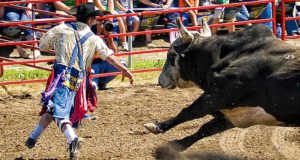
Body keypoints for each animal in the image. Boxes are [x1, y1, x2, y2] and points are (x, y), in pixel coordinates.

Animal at [143, 20, 300, 151]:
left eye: (171, 55)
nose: (160, 80)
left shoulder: (217, 96)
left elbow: (188, 112)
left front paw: (156, 126)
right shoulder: (233, 114)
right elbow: (205, 128)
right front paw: (177, 145)